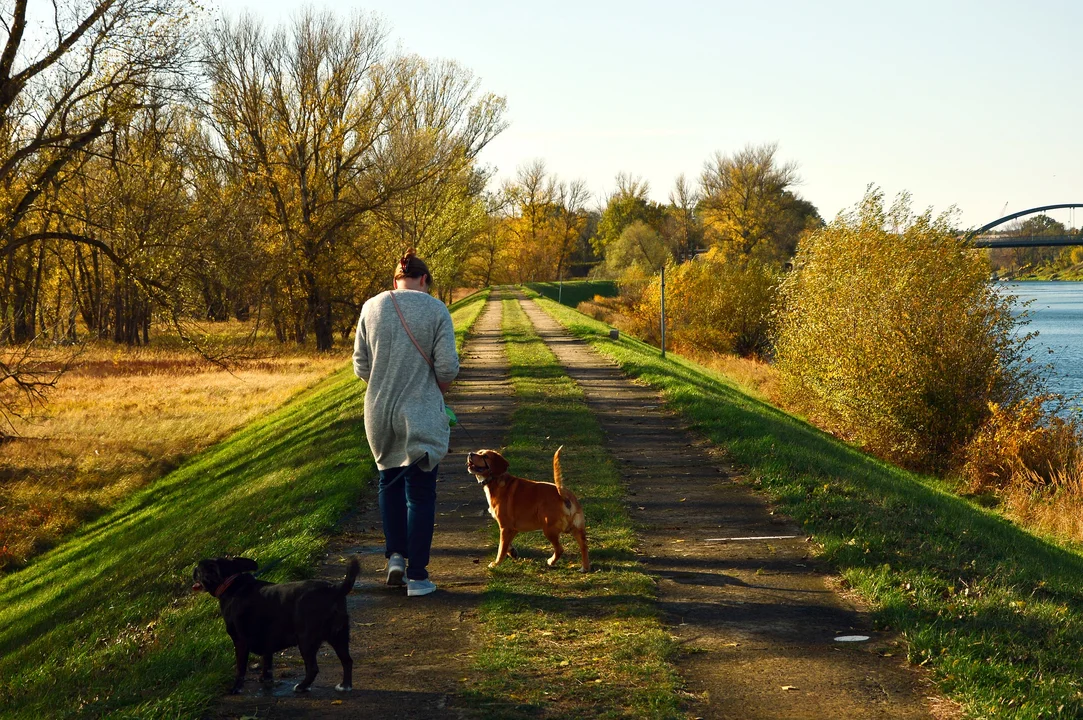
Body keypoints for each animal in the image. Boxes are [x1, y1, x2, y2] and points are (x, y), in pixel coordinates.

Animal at [192, 554, 361, 692]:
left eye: (200, 569)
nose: (193, 569)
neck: (231, 584)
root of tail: (335, 589)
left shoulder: (240, 642)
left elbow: (240, 669)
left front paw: (236, 688)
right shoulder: (267, 639)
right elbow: (267, 662)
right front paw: (265, 680)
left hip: (306, 640)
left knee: (313, 668)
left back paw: (302, 687)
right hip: (339, 636)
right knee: (347, 661)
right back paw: (345, 686)